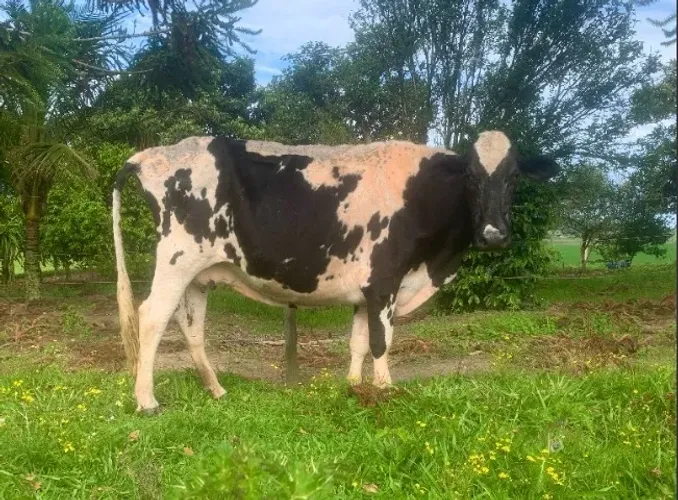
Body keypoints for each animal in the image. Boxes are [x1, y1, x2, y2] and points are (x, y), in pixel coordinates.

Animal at [112, 131, 559, 413]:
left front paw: (353, 387)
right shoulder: (384, 283)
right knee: (151, 317)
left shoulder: (365, 292)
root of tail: (151, 155)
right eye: (470, 176)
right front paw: (385, 393)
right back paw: (146, 401)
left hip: (199, 273)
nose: (494, 234)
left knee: (191, 327)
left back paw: (217, 390)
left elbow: (358, 342)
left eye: (514, 177)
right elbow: (381, 342)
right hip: (177, 258)